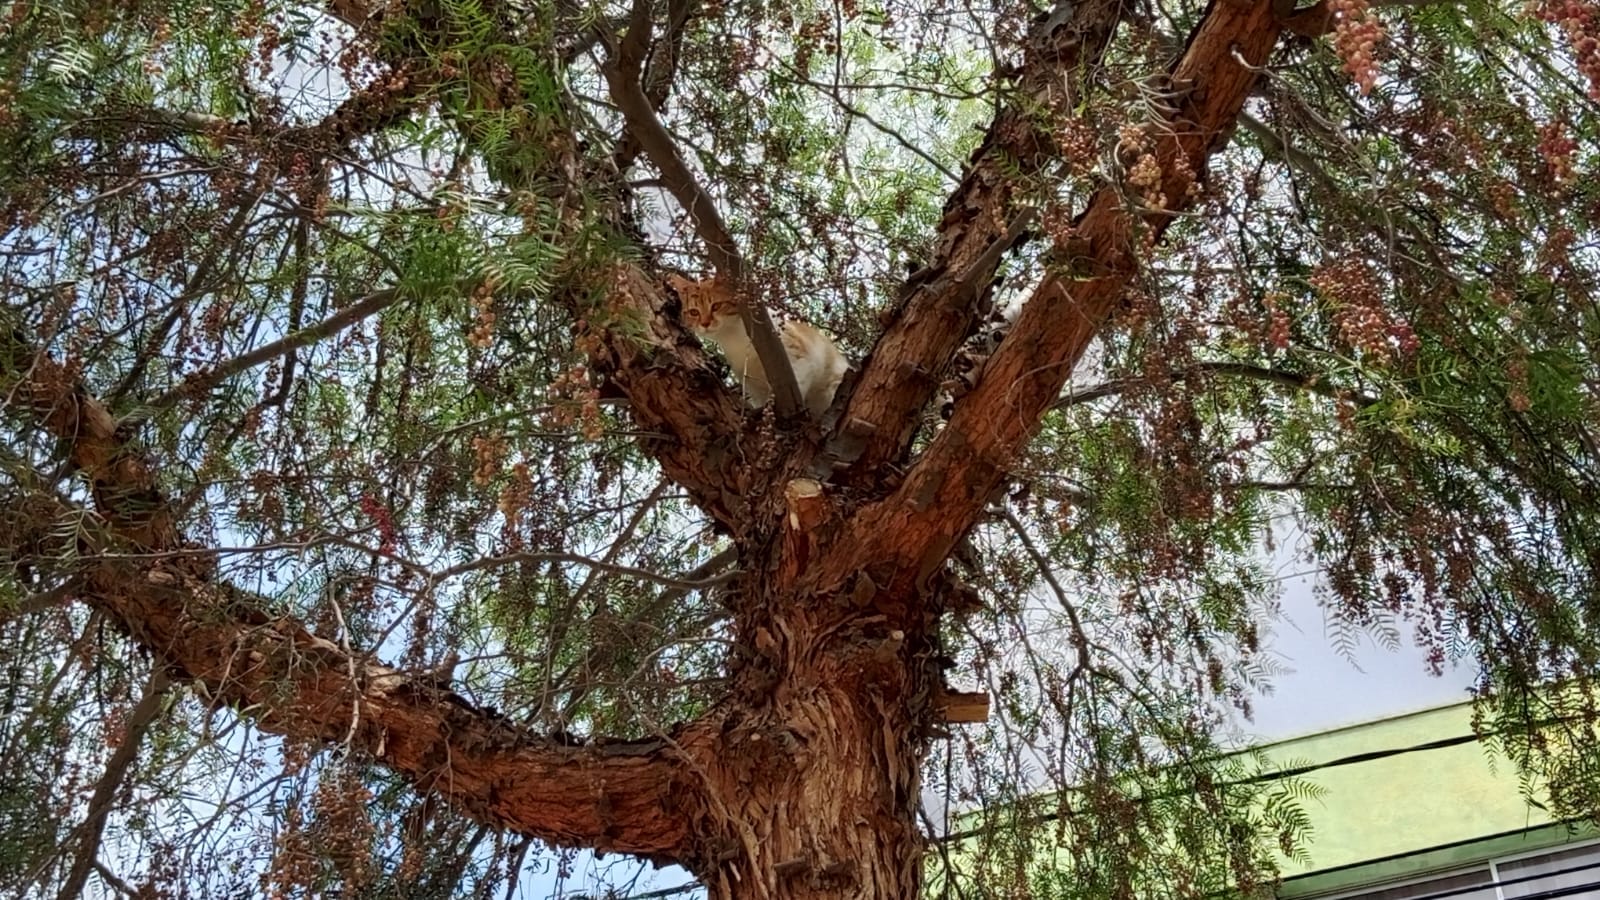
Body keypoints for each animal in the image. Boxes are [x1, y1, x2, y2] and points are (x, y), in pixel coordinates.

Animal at [668, 273, 851, 416]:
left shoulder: (797, 355)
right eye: (694, 312)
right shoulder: (752, 384)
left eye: (716, 306)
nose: (705, 323)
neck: (734, 339)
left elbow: (798, 379)